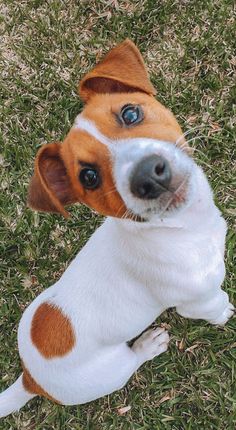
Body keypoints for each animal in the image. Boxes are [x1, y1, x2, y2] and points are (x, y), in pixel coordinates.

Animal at [0, 39, 234, 416]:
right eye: (88, 177)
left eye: (130, 113)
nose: (148, 176)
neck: (178, 230)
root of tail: (31, 379)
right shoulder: (196, 301)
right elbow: (216, 305)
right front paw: (226, 312)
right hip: (113, 370)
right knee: (131, 361)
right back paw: (148, 345)